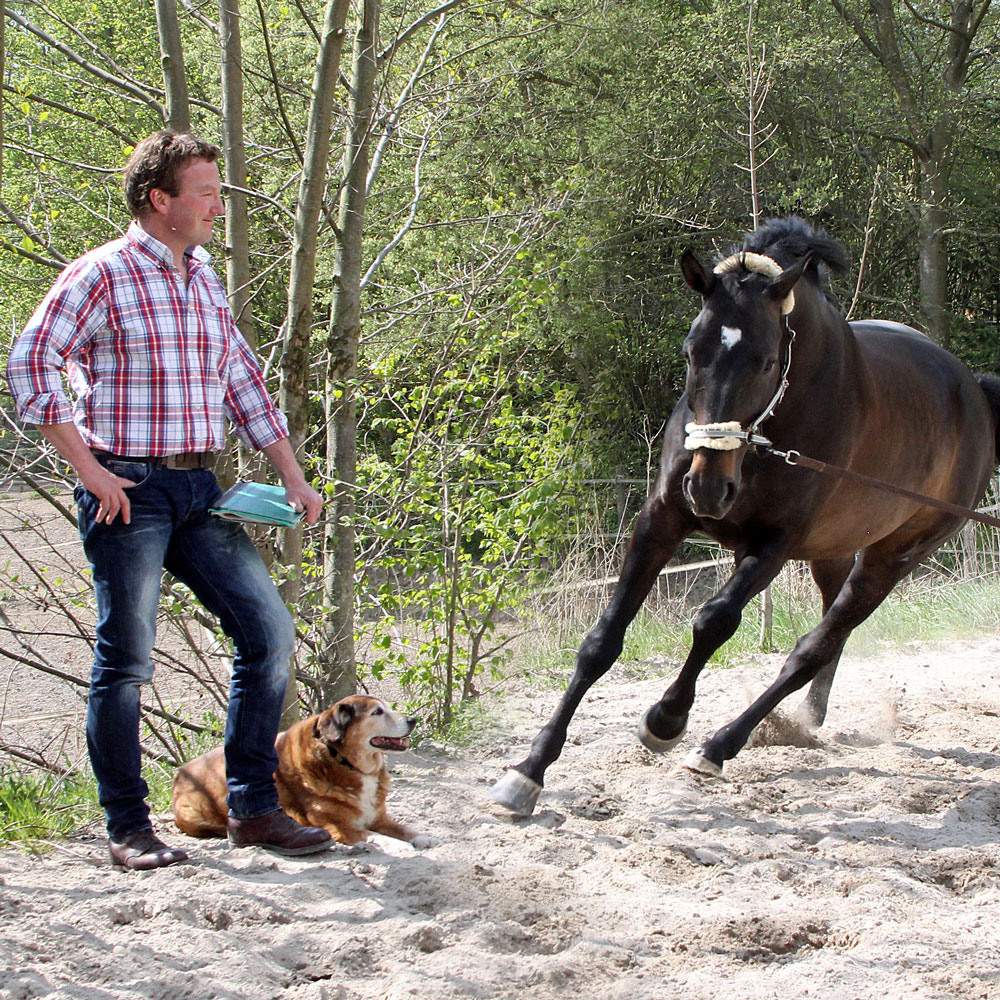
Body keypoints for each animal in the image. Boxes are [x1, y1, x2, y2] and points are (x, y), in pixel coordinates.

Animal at [171, 696, 434, 852]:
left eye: (387, 707)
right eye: (377, 712)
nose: (413, 719)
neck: (344, 761)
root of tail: (179, 773)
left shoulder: (379, 817)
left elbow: (405, 828)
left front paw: (423, 837)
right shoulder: (338, 826)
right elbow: (371, 835)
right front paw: (400, 846)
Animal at [490, 217, 1000, 812]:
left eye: (766, 360)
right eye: (691, 352)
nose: (709, 489)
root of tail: (976, 394)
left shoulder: (773, 545)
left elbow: (713, 621)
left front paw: (666, 720)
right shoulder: (661, 519)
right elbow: (602, 641)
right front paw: (529, 770)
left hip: (890, 560)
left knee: (812, 648)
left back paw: (719, 745)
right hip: (832, 551)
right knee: (828, 638)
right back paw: (806, 721)